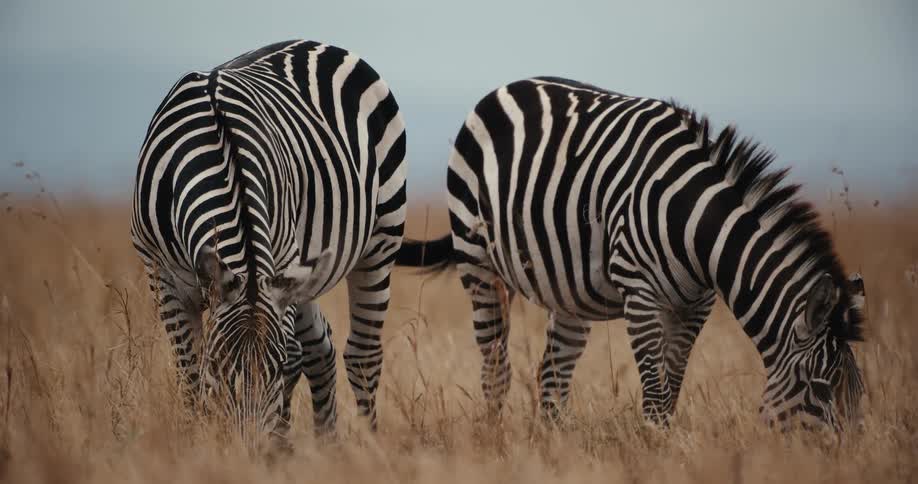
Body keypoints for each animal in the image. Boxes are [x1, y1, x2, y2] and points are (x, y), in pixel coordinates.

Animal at [131, 40, 407, 441]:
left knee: (361, 356)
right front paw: (196, 440)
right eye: (219, 364)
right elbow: (190, 374)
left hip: (381, 238)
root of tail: (314, 42)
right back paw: (327, 444)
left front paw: (278, 443)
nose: (249, 449)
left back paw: (367, 443)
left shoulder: (280, 261)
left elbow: (292, 358)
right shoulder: (161, 276)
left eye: (274, 371)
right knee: (321, 347)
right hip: (305, 274)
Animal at [395, 77, 866, 429]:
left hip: (568, 288)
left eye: (858, 392)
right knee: (495, 366)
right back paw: (494, 440)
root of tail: (508, 85)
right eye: (821, 388)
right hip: (478, 261)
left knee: (552, 374)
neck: (694, 226)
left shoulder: (697, 304)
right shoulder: (641, 296)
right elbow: (656, 394)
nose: (845, 456)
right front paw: (658, 452)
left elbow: (672, 387)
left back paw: (553, 448)